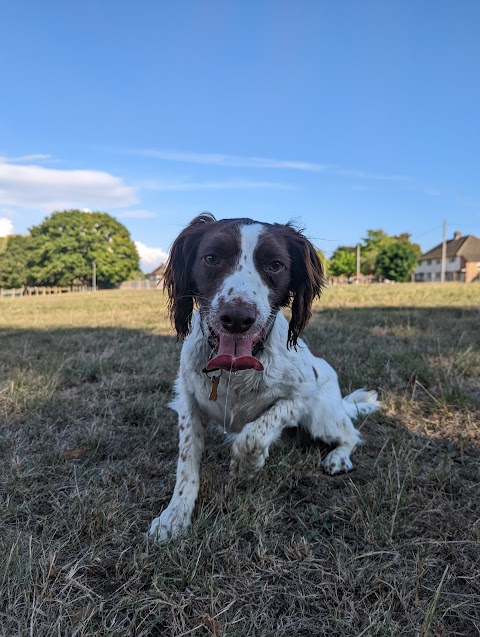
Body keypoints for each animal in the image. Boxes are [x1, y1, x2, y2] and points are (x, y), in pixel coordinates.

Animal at [148, 215, 380, 540]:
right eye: (211, 258)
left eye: (275, 265)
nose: (237, 318)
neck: (234, 370)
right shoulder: (188, 404)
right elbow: (187, 464)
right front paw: (175, 515)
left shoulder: (302, 395)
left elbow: (255, 433)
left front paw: (246, 466)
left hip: (321, 416)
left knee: (351, 434)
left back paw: (338, 457)